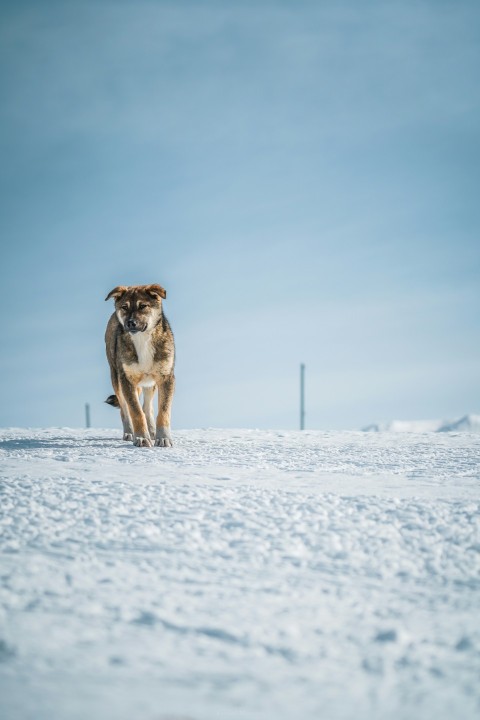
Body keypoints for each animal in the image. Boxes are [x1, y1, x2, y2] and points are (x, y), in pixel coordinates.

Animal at [104, 282, 175, 444]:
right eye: (124, 307)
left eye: (143, 306)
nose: (130, 323)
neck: (143, 339)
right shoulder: (127, 379)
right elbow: (135, 411)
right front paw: (142, 438)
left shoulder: (166, 377)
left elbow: (163, 411)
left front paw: (163, 438)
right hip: (116, 379)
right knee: (125, 409)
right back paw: (129, 433)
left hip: (150, 382)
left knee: (147, 407)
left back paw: (152, 431)